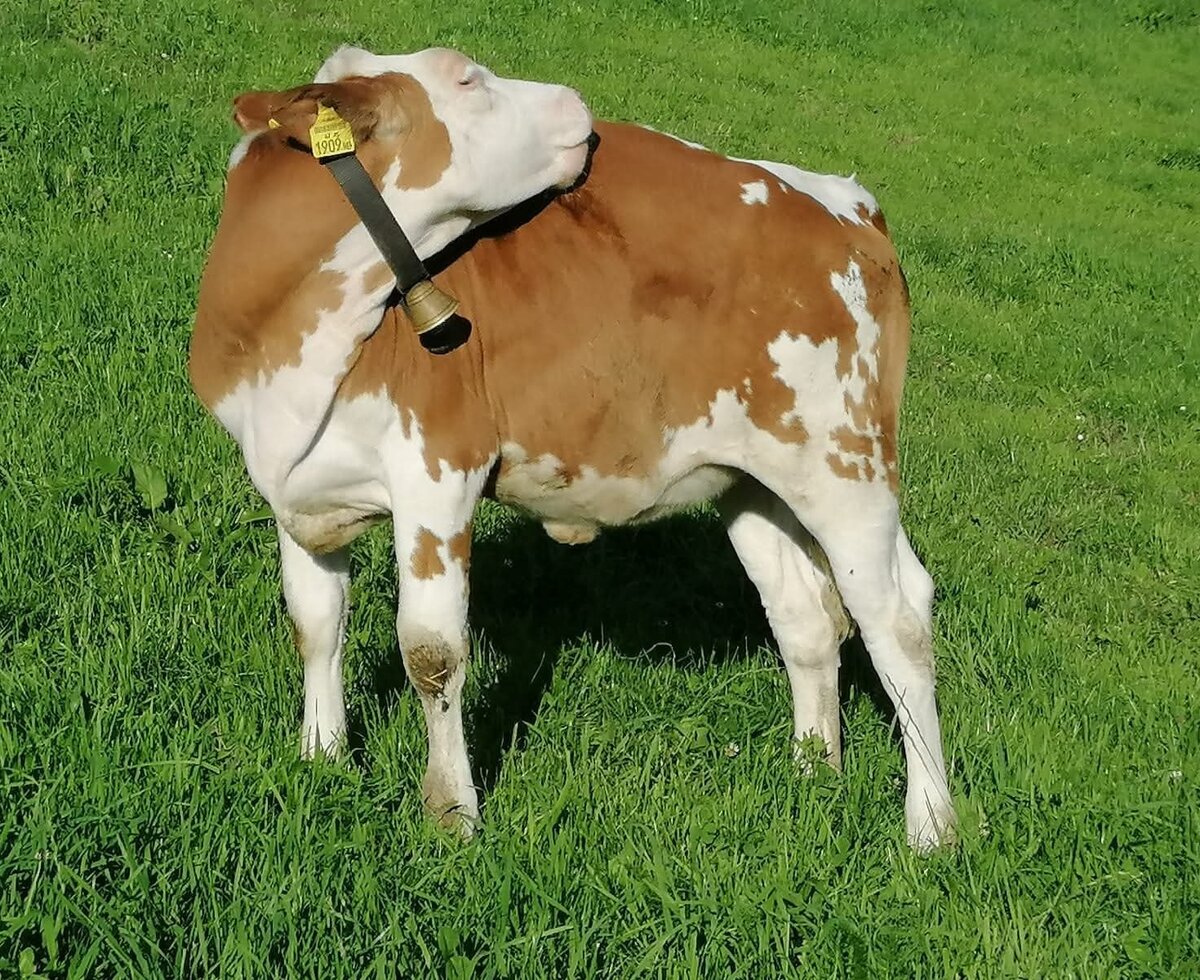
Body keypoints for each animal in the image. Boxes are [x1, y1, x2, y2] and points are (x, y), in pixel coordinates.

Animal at [190, 45, 957, 851]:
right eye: (466, 77)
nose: (575, 101)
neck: (285, 338)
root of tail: (844, 198)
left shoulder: (439, 472)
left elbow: (431, 651)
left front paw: (451, 815)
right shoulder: (293, 486)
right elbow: (314, 624)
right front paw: (323, 760)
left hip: (848, 460)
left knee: (899, 620)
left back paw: (931, 826)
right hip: (760, 477)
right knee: (805, 615)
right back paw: (814, 772)